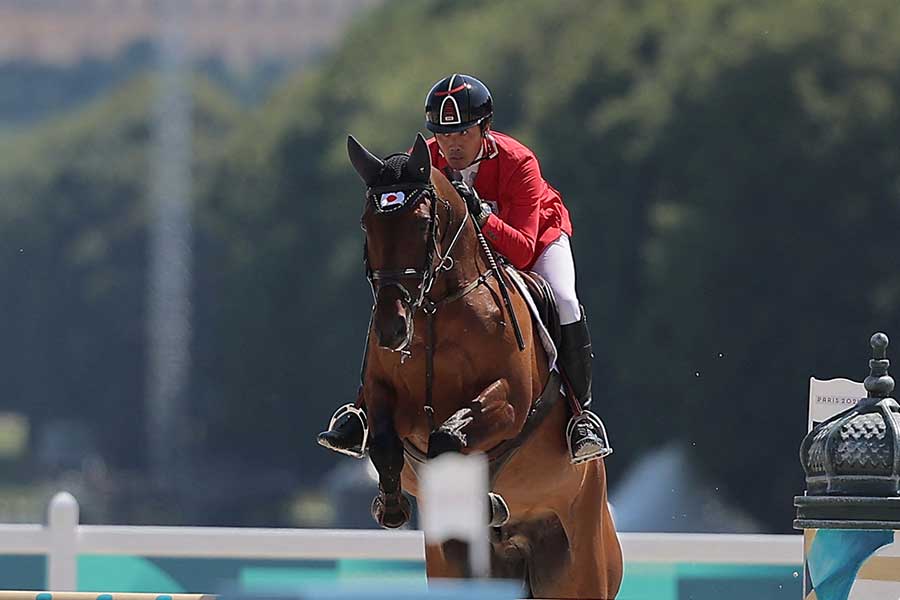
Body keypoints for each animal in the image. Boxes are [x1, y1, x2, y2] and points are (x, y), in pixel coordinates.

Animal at [348, 132, 624, 600]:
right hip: (459, 569)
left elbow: (447, 439)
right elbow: (384, 441)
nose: (391, 330)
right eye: (368, 225)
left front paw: (481, 500)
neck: (435, 308)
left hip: (578, 567)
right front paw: (392, 506)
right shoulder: (384, 391)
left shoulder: (508, 403)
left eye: (421, 225)